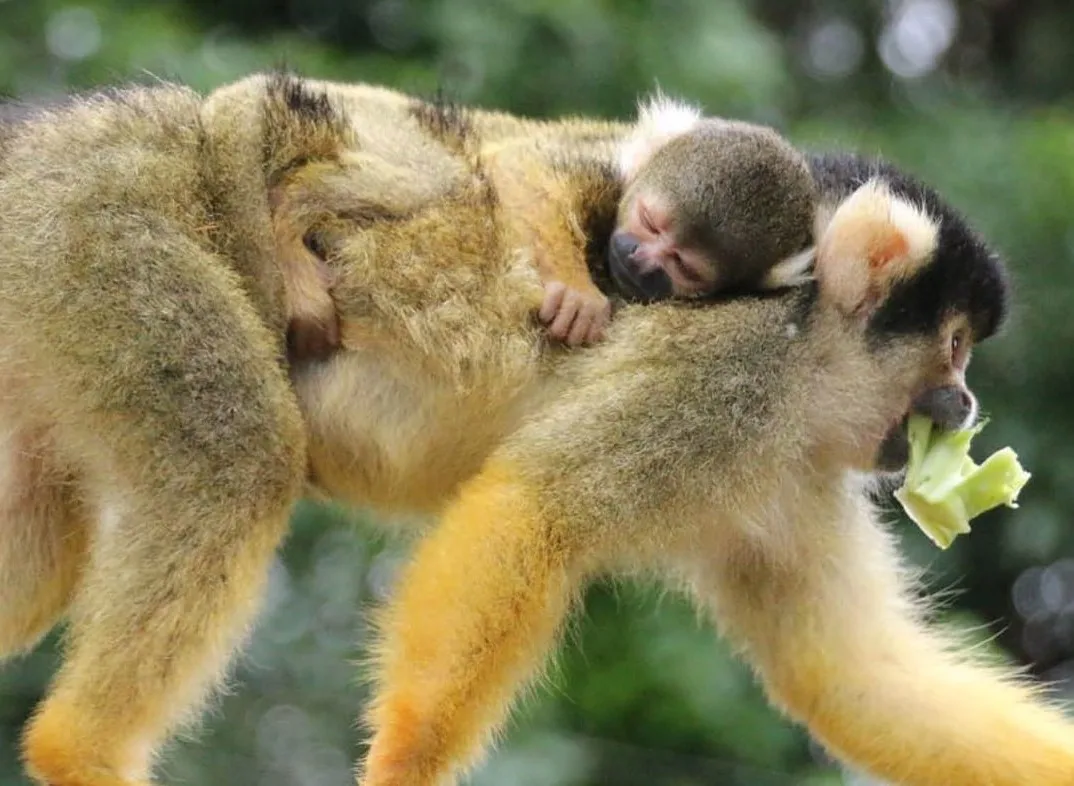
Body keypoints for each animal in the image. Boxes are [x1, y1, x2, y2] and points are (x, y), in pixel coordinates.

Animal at [0, 71, 1071, 786]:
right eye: (955, 349)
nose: (966, 407)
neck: (809, 357)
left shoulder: (795, 469)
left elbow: (854, 676)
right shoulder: (728, 379)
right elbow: (531, 513)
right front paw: (400, 770)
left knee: (52, 547)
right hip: (109, 232)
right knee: (238, 462)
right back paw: (79, 750)